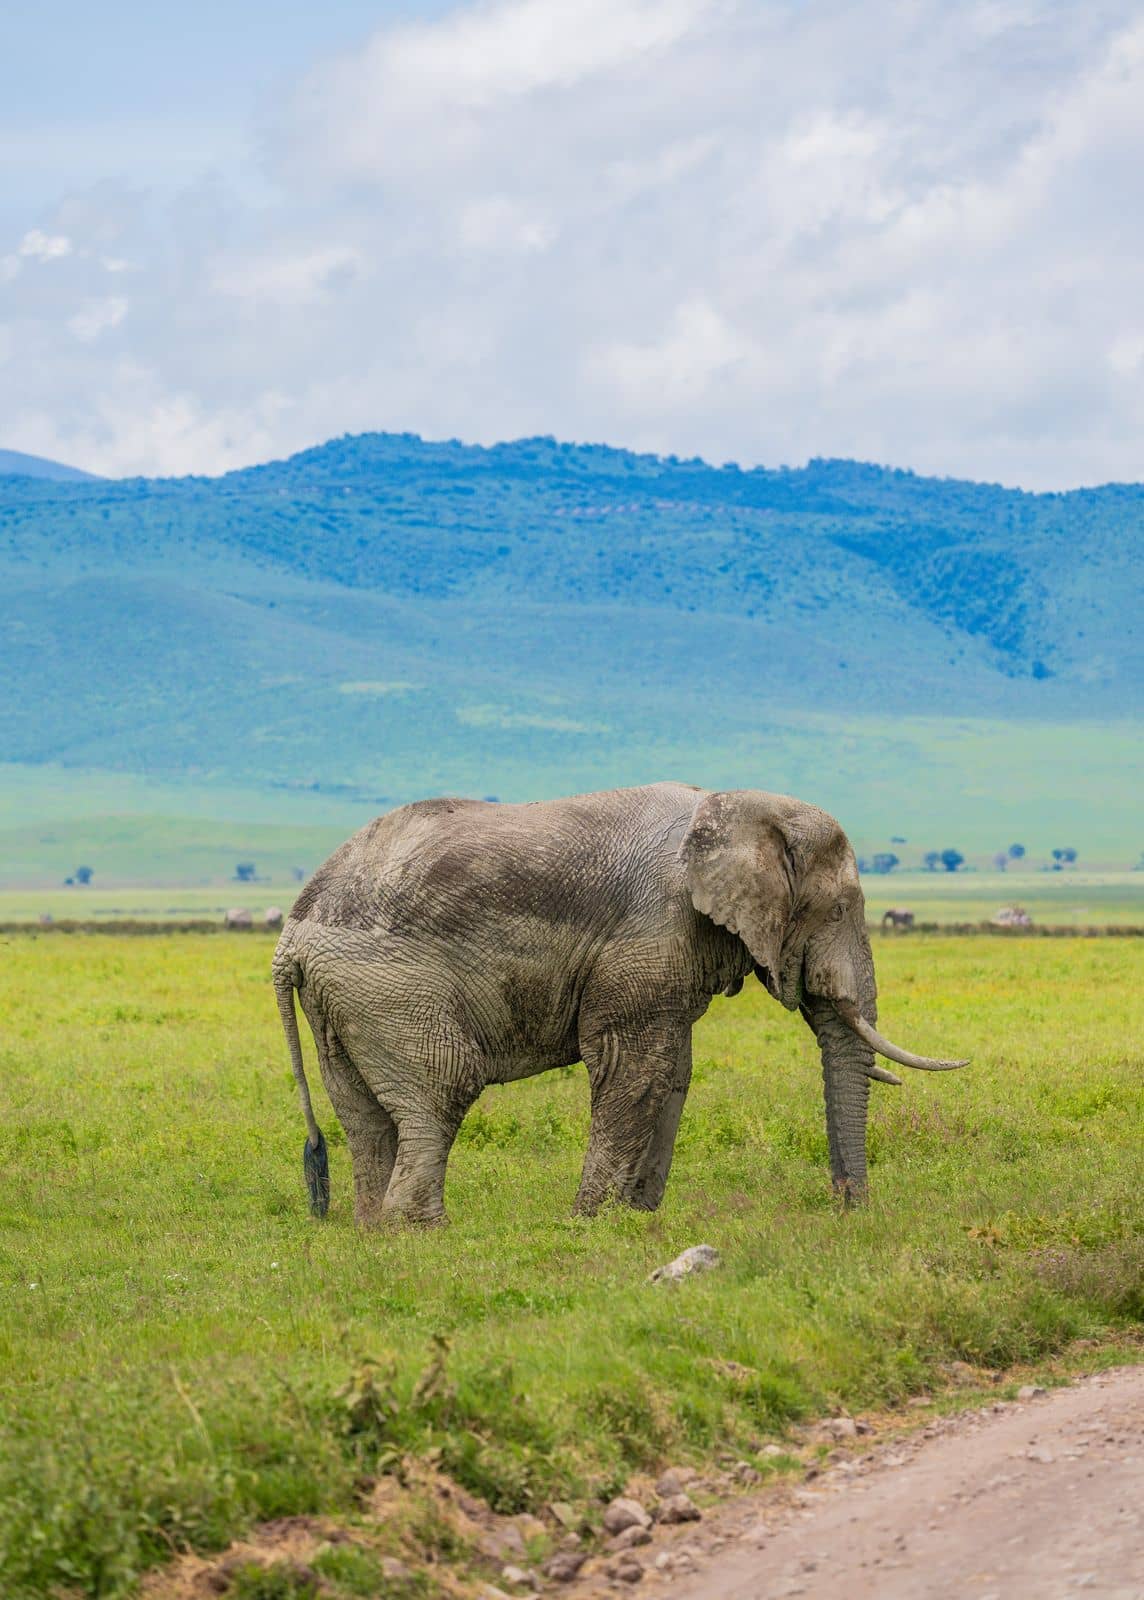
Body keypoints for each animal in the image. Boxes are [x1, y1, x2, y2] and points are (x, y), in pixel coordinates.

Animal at [273, 784, 967, 1225]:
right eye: (841, 909)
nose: (851, 1209)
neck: (734, 806)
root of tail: (292, 934)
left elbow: (673, 1074)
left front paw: (637, 1218)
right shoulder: (652, 932)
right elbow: (632, 1070)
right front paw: (590, 1223)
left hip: (342, 1002)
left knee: (362, 1114)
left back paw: (372, 1231)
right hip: (390, 986)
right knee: (443, 1088)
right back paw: (420, 1230)